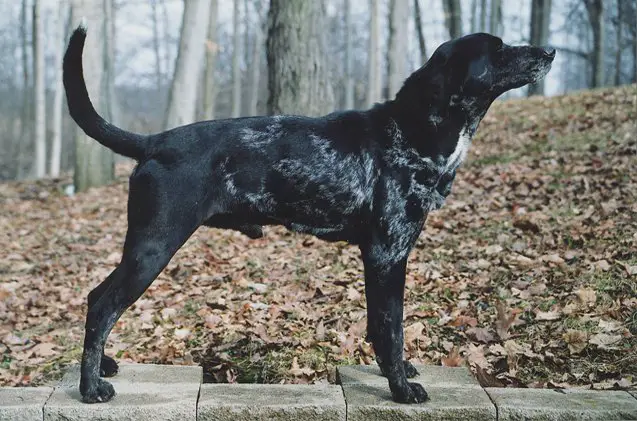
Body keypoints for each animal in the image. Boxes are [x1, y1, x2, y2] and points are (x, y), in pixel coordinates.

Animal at [62, 23, 556, 404]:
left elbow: (380, 330)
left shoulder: (380, 259)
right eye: (497, 49)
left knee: (95, 298)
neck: (412, 130)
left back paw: (103, 366)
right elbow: (392, 327)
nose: (550, 51)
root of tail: (154, 142)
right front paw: (400, 388)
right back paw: (90, 387)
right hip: (153, 247)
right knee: (103, 306)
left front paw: (393, 372)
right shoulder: (388, 255)